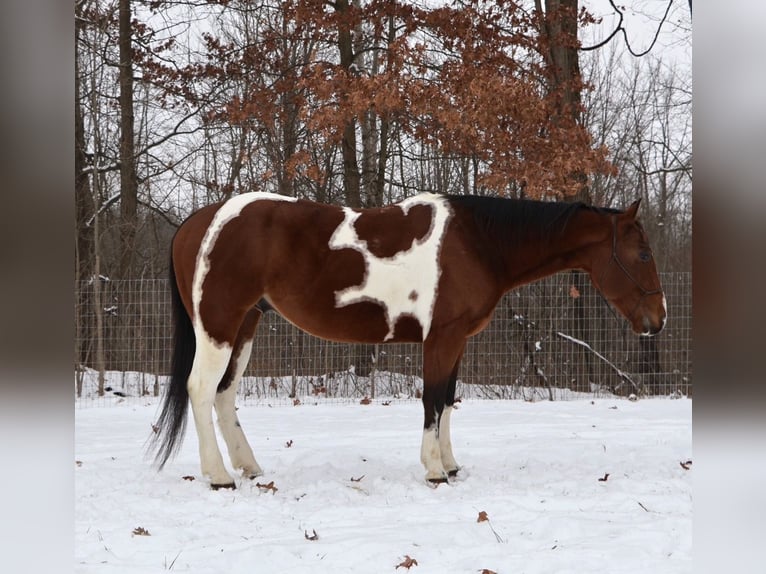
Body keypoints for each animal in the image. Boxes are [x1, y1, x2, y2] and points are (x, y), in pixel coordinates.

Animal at [150, 192, 666, 488]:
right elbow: (433, 400)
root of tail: (199, 221)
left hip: (245, 326)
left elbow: (449, 400)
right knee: (200, 390)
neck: (477, 242)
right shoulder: (442, 338)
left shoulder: (456, 341)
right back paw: (219, 477)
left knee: (224, 394)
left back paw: (249, 467)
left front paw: (452, 466)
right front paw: (435, 470)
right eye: (642, 254)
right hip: (219, 326)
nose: (658, 321)